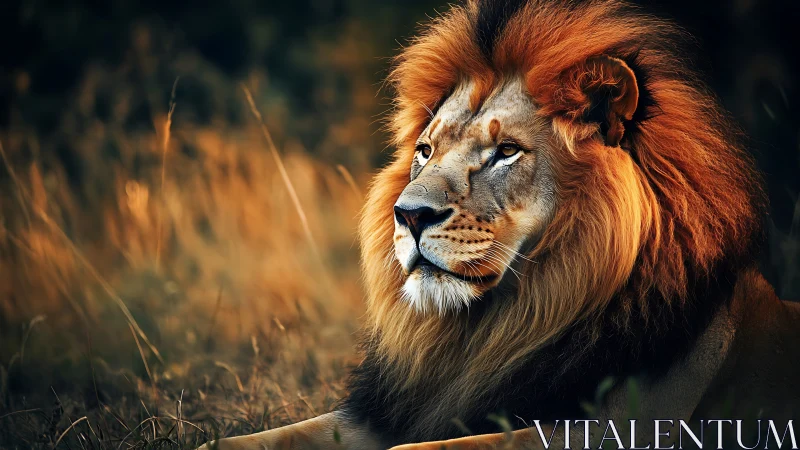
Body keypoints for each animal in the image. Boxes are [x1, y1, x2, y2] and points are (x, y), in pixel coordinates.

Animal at [199, 0, 800, 449]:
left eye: (506, 152)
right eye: (424, 151)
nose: (408, 214)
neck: (485, 333)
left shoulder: (611, 428)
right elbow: (229, 442)